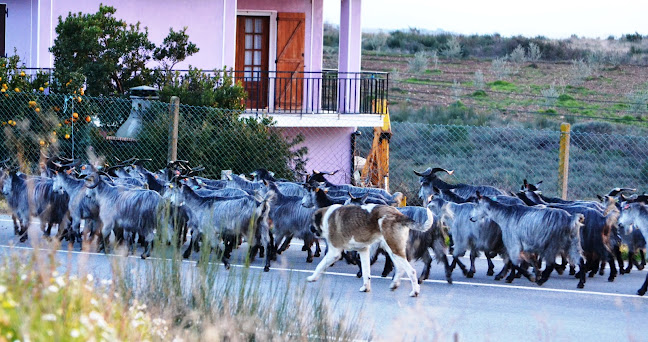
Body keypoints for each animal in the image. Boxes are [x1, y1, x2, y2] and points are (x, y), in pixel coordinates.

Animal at [306, 203, 436, 296]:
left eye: (312, 221)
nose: (310, 228)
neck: (326, 217)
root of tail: (399, 214)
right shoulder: (363, 251)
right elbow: (366, 272)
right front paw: (365, 287)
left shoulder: (334, 252)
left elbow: (320, 265)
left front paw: (312, 278)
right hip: (392, 250)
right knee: (400, 269)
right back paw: (394, 284)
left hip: (394, 248)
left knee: (411, 271)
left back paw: (415, 292)